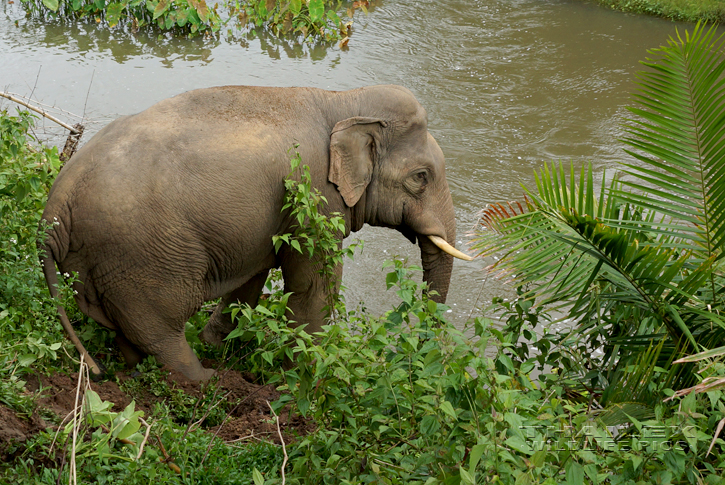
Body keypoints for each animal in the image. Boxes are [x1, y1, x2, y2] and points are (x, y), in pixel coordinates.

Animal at [38, 85, 470, 380]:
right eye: (421, 177)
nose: (424, 354)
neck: (344, 102)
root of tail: (54, 208)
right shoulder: (313, 195)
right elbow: (314, 281)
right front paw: (309, 366)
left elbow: (253, 273)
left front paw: (220, 342)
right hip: (143, 255)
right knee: (161, 326)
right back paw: (206, 379)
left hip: (103, 260)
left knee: (127, 325)